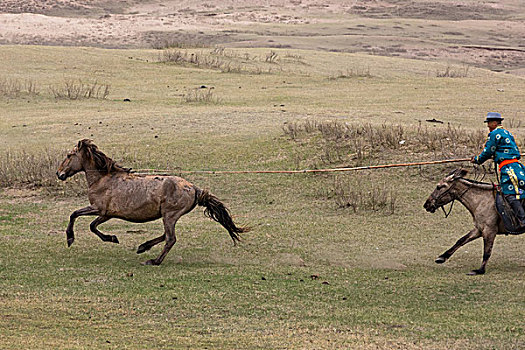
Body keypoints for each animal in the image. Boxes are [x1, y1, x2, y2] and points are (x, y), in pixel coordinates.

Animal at [56, 139, 249, 266]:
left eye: (69, 155)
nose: (59, 174)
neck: (103, 179)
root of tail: (194, 188)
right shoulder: (107, 215)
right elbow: (92, 225)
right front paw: (112, 238)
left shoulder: (98, 209)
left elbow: (76, 216)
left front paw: (70, 238)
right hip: (168, 217)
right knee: (165, 235)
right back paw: (143, 247)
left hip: (169, 215)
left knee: (170, 238)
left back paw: (154, 260)